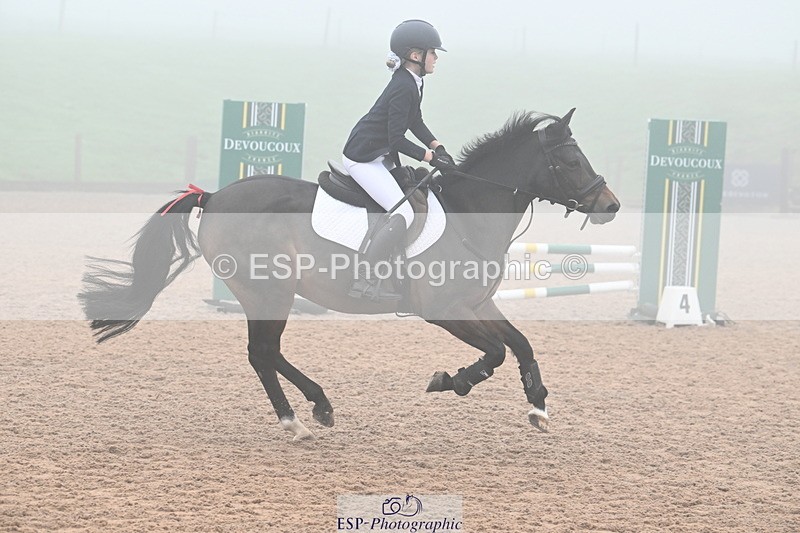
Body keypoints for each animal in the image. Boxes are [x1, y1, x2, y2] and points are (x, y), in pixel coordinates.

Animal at [79, 108, 620, 440]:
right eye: (571, 159)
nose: (611, 206)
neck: (469, 212)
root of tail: (212, 197)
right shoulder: (444, 311)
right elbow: (495, 352)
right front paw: (450, 381)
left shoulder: (477, 303)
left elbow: (520, 344)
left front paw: (538, 406)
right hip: (268, 292)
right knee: (262, 354)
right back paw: (296, 421)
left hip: (269, 295)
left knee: (268, 353)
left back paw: (318, 406)